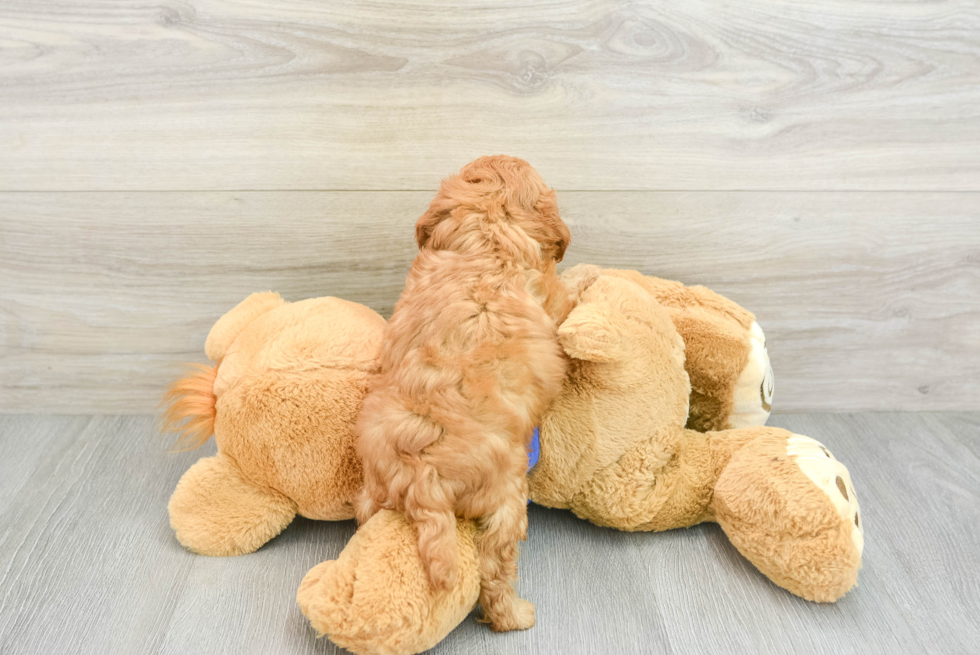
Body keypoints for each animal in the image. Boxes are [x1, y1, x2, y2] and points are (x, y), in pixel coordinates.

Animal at [354, 156, 580, 632]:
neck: (487, 230)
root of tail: (419, 470)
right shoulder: (551, 300)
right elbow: (569, 290)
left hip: (373, 488)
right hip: (508, 497)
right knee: (495, 568)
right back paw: (516, 616)